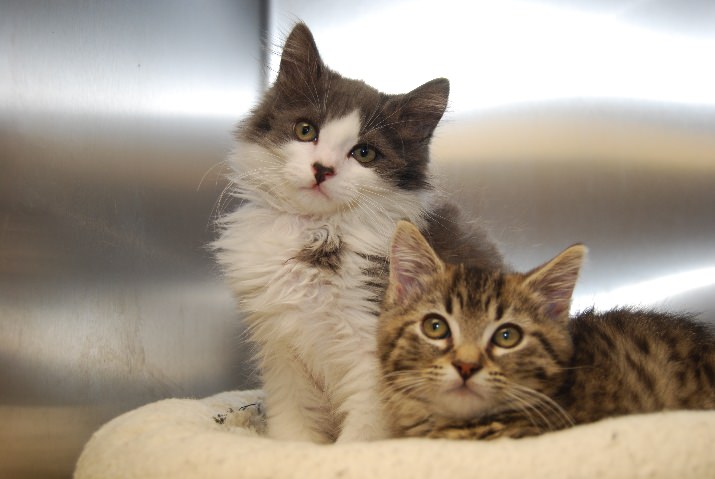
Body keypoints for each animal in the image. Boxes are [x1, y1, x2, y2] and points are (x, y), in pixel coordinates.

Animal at [214, 22, 504, 442]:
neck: (316, 231)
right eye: (306, 130)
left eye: (364, 153)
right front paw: (294, 449)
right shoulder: (282, 349)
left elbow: (362, 431)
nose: (322, 169)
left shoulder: (374, 346)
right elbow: (293, 421)